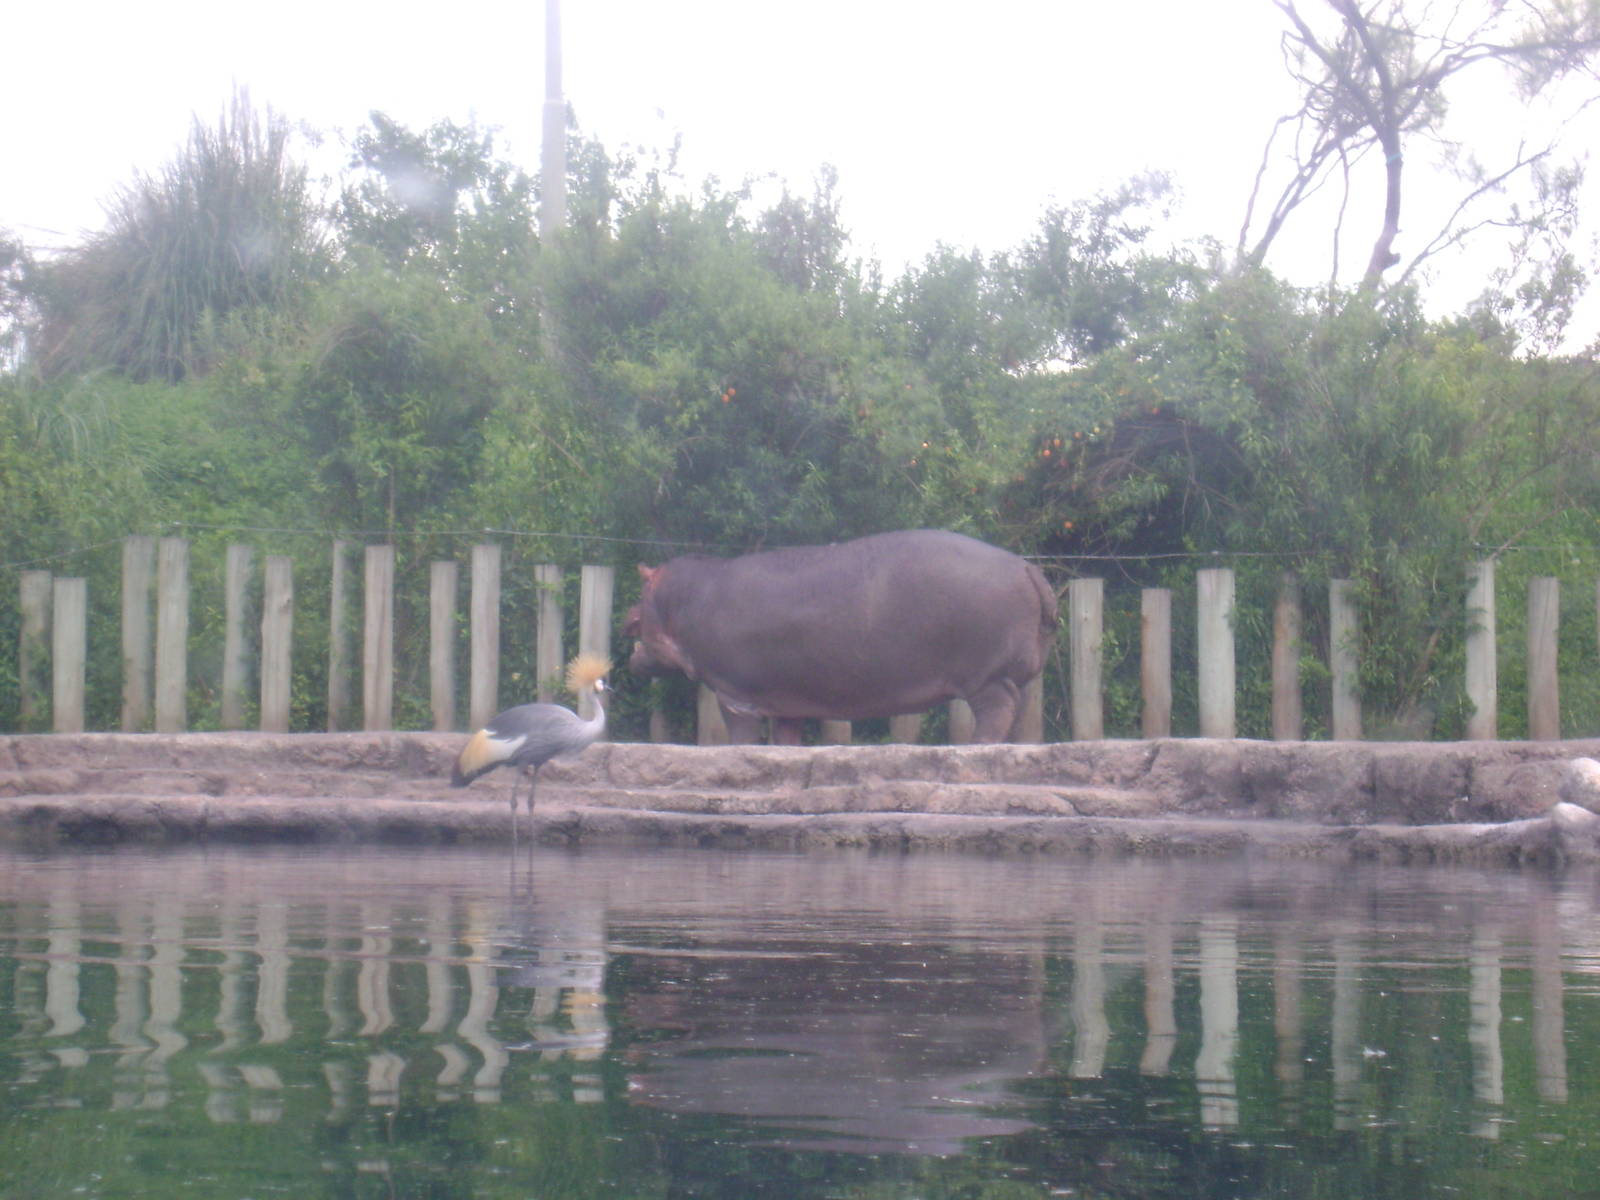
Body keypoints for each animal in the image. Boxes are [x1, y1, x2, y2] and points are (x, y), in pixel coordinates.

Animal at [623, 529, 1058, 743]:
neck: (682, 598)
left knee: (996, 712)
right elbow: (786, 738)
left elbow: (741, 736)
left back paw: (975, 747)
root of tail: (1026, 568)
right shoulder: (786, 701)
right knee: (1016, 711)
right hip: (1012, 676)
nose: (628, 617)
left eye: (642, 587)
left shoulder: (733, 693)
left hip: (986, 678)